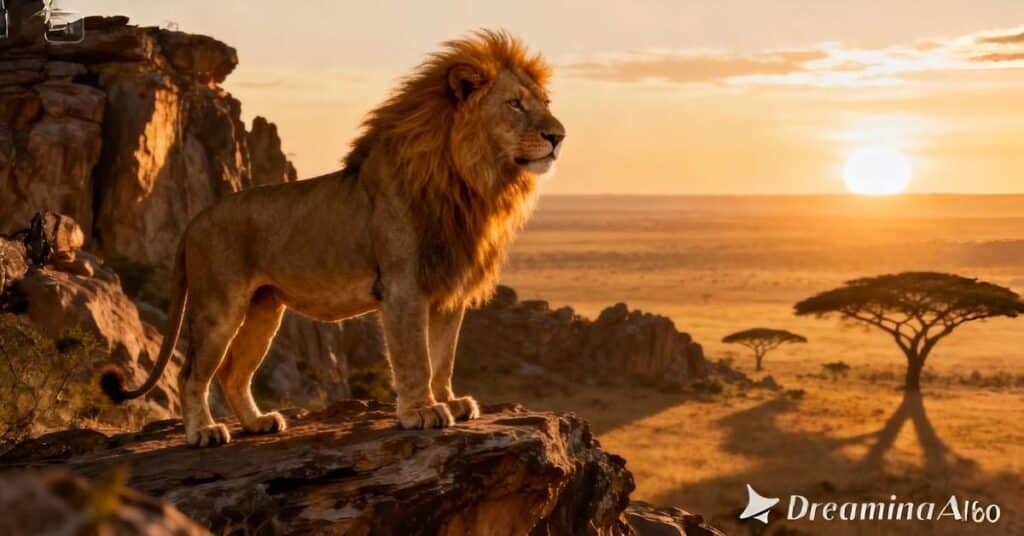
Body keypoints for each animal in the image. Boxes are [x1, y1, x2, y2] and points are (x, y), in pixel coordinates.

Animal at [100, 30, 565, 447]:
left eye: (545, 104)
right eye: (515, 104)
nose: (558, 137)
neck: (471, 183)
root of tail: (195, 221)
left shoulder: (448, 288)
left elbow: (443, 357)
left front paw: (450, 401)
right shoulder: (403, 286)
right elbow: (415, 356)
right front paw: (422, 411)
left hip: (264, 309)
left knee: (233, 373)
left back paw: (258, 424)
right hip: (218, 306)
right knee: (191, 372)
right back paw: (203, 433)